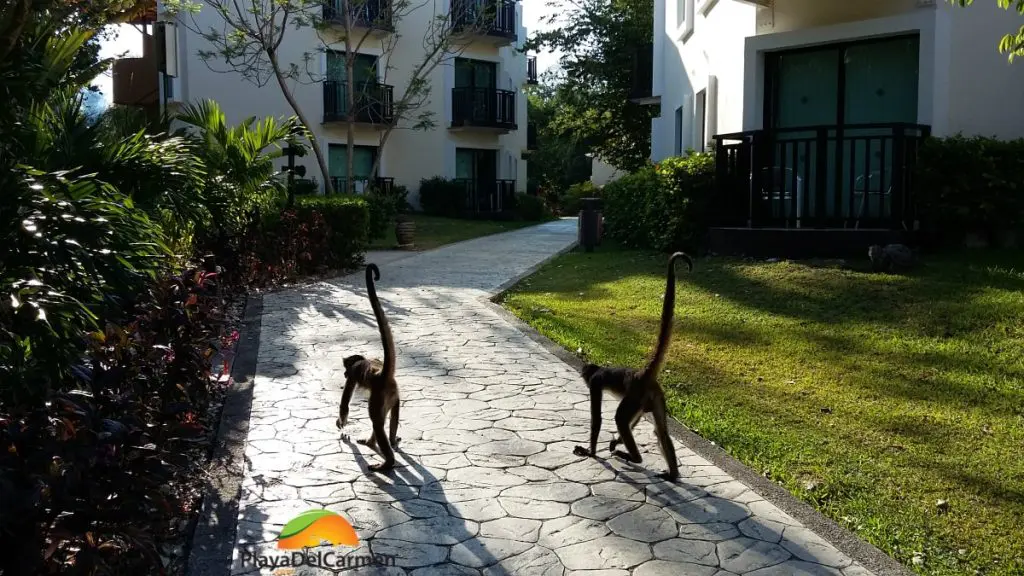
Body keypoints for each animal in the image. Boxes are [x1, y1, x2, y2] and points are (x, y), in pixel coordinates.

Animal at [335, 262, 399, 473]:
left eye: (346, 370)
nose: (344, 372)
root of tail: (382, 375)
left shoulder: (354, 372)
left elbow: (345, 403)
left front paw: (341, 422)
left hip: (379, 396)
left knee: (377, 422)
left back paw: (387, 462)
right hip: (394, 396)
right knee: (388, 417)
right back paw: (387, 441)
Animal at [573, 251, 692, 479]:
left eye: (584, 377)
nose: (581, 379)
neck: (599, 368)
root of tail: (642, 374)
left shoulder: (595, 382)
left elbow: (597, 419)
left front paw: (591, 452)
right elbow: (635, 422)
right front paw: (616, 441)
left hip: (636, 394)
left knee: (621, 418)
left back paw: (635, 458)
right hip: (653, 396)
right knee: (660, 430)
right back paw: (672, 474)